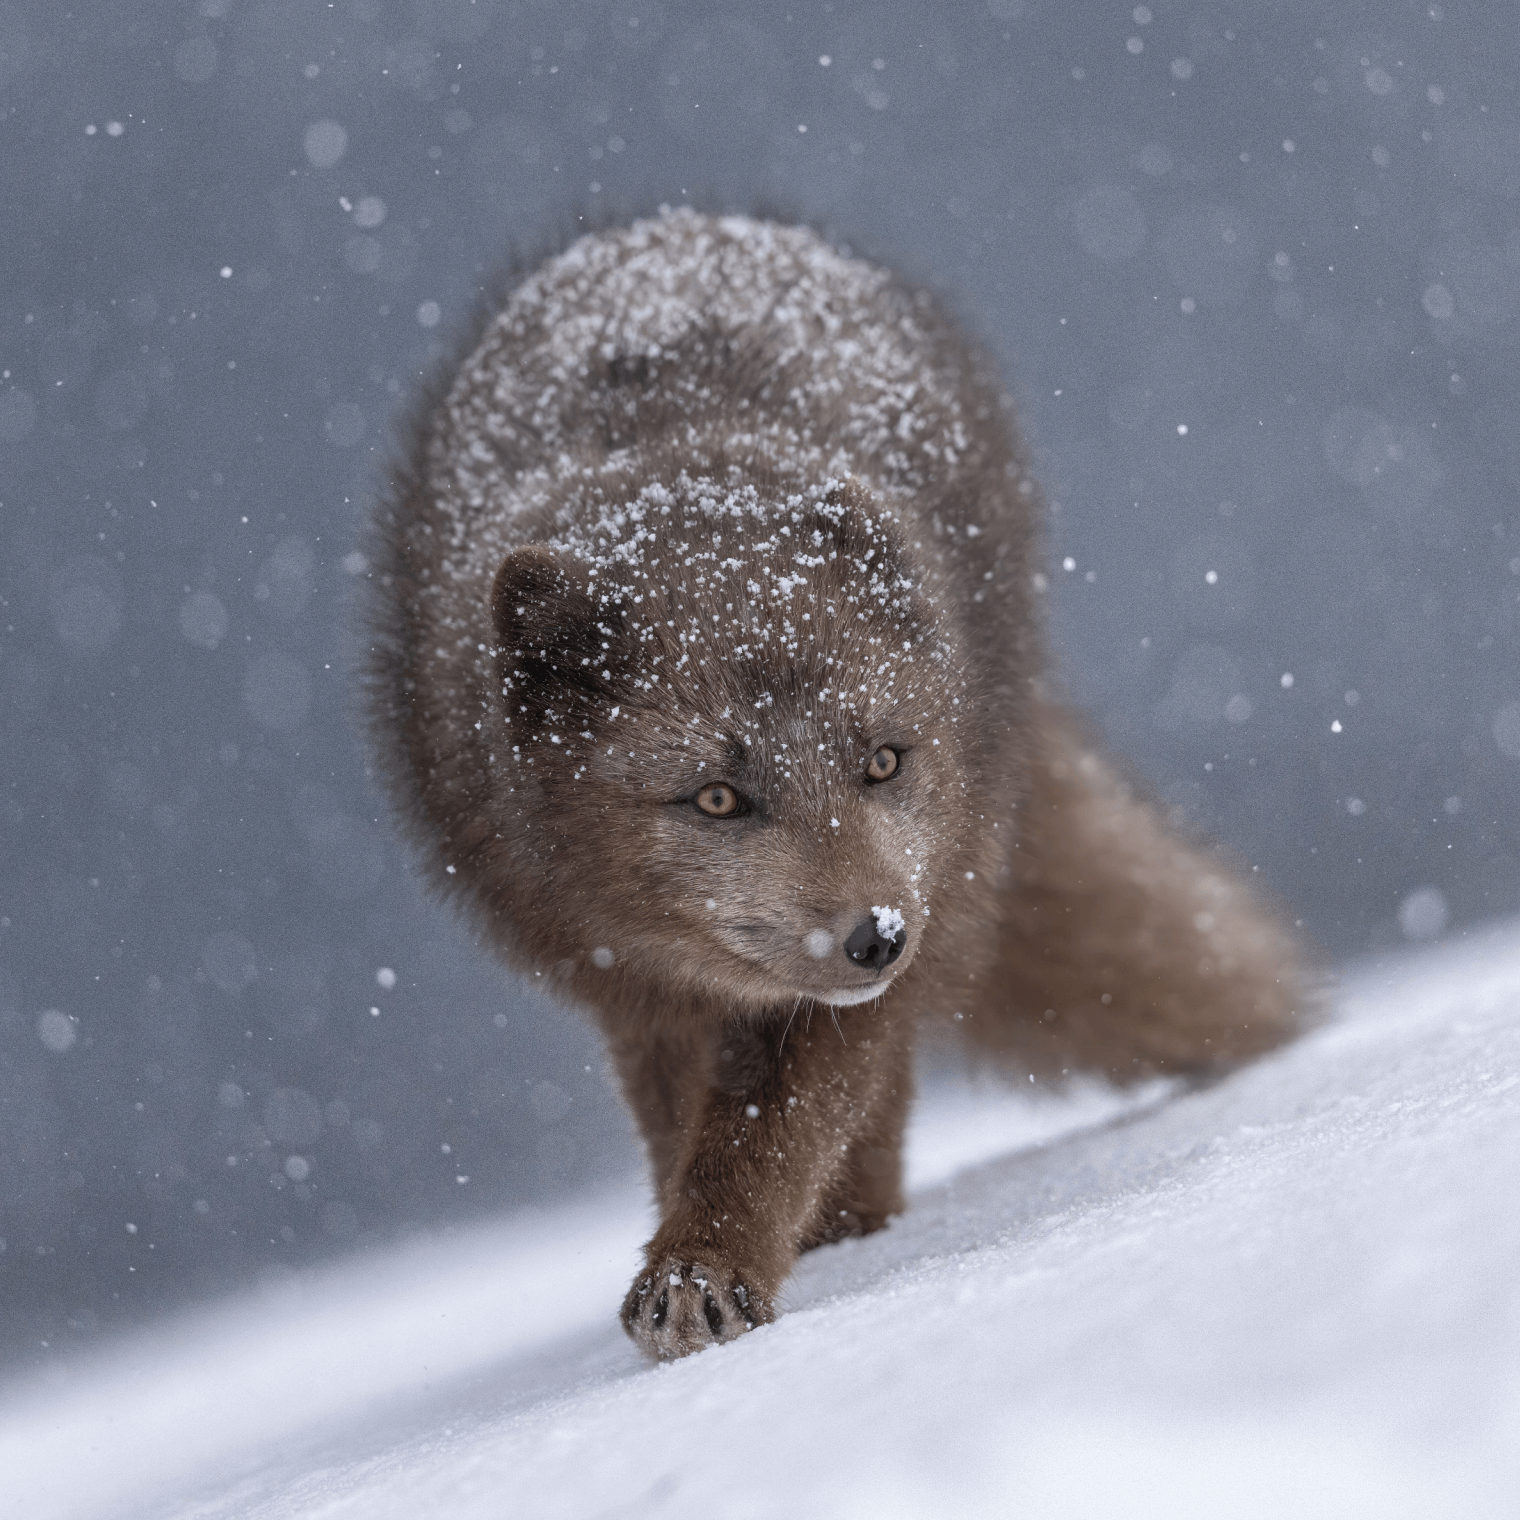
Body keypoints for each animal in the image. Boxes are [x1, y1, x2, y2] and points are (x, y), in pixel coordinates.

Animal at [361, 208, 1301, 1361]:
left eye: (882, 762)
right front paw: (698, 1252)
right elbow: (692, 1120)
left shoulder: (884, 952)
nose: (876, 937)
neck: (679, 463)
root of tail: (682, 221)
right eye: (717, 797)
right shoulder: (633, 981)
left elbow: (779, 1123)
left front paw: (708, 1265)